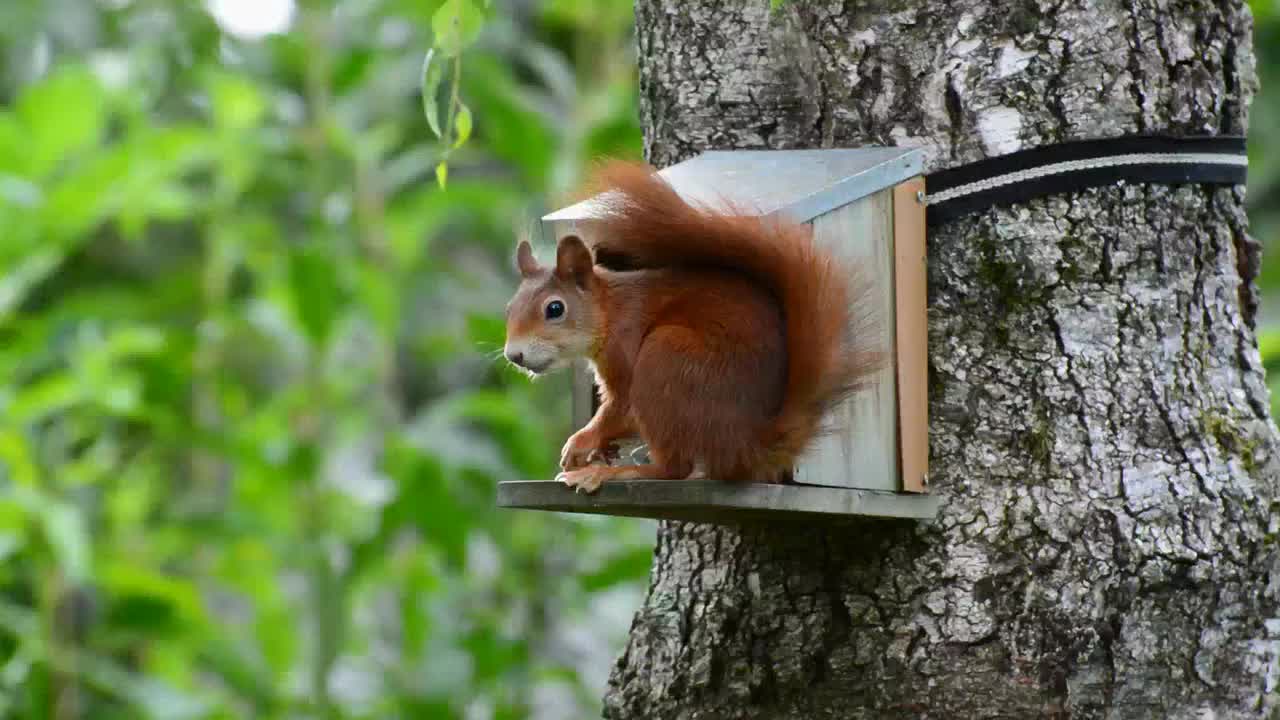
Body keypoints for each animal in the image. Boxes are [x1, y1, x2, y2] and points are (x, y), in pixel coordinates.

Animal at [499, 159, 880, 489]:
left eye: (555, 309)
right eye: (509, 308)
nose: (514, 355)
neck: (610, 310)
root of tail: (749, 446)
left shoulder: (625, 348)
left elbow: (619, 409)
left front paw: (581, 443)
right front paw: (598, 449)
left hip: (665, 359)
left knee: (674, 469)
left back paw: (616, 473)